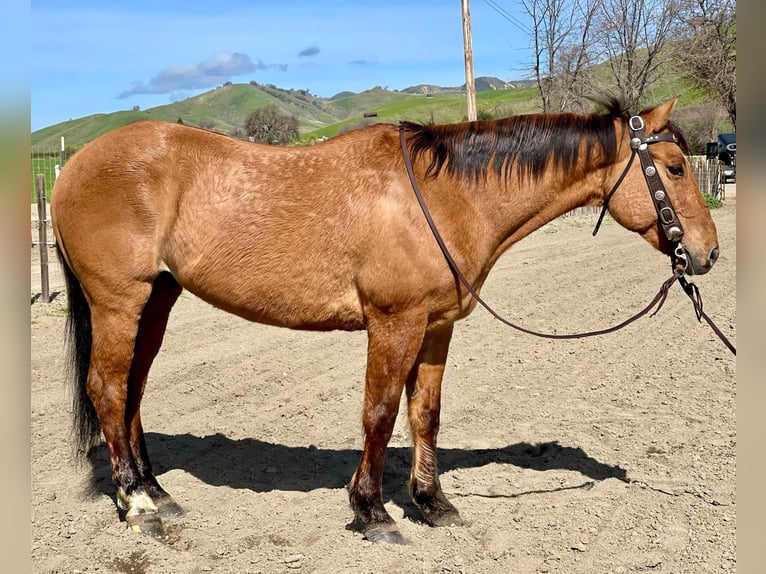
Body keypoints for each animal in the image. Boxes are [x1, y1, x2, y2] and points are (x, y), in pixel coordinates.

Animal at [52, 97, 720, 548]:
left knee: (132, 390)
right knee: (107, 388)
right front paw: (372, 511)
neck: (445, 195)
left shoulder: (436, 326)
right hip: (119, 302)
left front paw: (432, 503)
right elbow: (378, 411)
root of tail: (75, 165)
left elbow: (425, 413)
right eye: (676, 168)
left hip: (157, 300)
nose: (708, 254)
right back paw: (137, 504)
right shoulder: (393, 323)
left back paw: (156, 491)